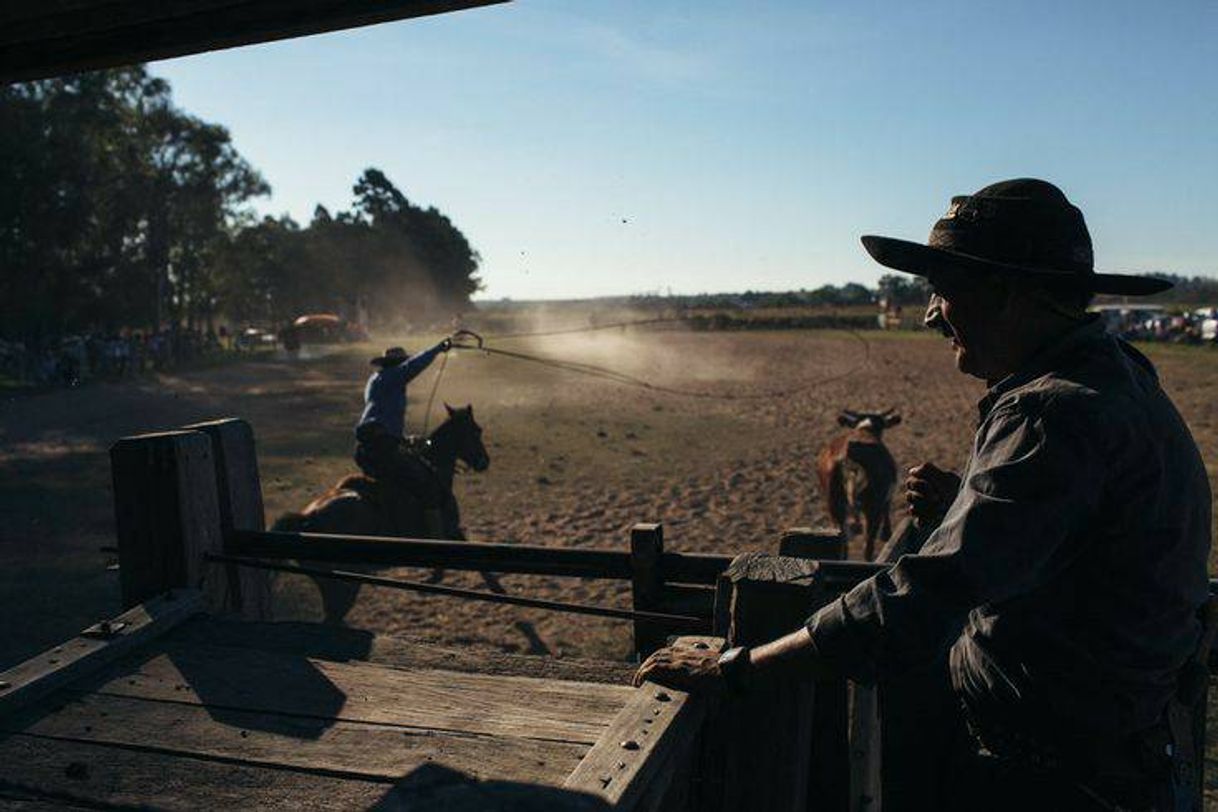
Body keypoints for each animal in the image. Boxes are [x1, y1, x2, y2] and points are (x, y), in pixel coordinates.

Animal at [272, 404, 489, 628]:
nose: (484, 462)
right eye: (476, 430)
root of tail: (307, 518)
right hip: (345, 585)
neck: (436, 468)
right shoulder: (451, 529)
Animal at [813, 409, 901, 562]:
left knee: (843, 540)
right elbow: (887, 508)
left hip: (834, 506)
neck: (865, 428)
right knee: (868, 545)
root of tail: (847, 457)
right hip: (871, 509)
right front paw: (886, 534)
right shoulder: (883, 499)